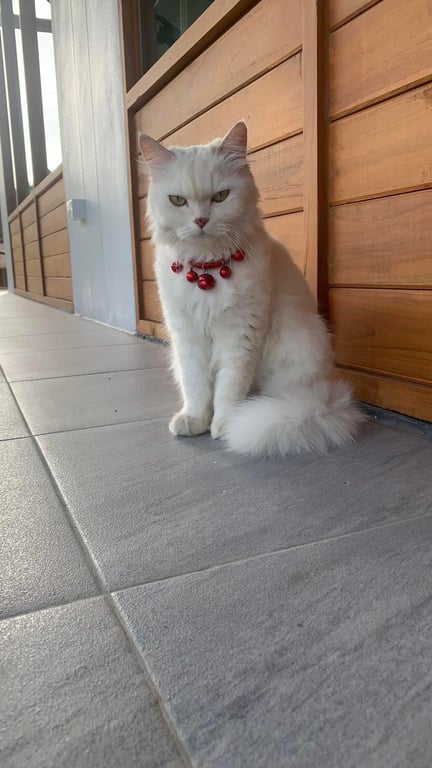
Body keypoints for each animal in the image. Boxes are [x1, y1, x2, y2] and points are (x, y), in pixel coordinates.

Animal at [139, 121, 363, 456]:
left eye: (221, 196)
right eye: (177, 200)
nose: (201, 220)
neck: (207, 272)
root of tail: (322, 397)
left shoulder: (241, 334)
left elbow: (228, 389)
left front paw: (224, 425)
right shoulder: (188, 336)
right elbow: (196, 388)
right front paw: (195, 420)